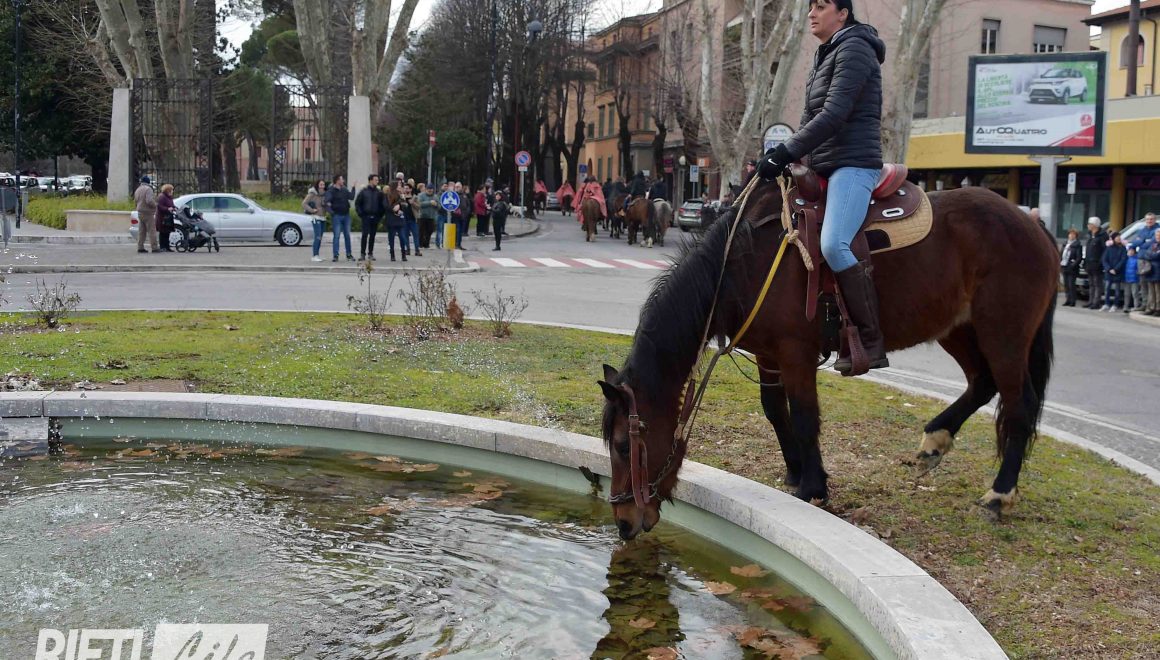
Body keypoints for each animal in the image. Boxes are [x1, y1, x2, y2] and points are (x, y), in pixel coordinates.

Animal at [597, 182, 1058, 540]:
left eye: (623, 445)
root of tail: (1032, 223)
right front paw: (796, 470)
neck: (744, 263)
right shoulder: (768, 355)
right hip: (959, 329)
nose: (623, 522)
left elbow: (803, 415)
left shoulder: (795, 353)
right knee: (982, 383)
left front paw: (813, 486)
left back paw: (999, 494)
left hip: (1004, 334)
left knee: (1018, 403)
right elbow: (775, 411)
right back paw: (935, 440)